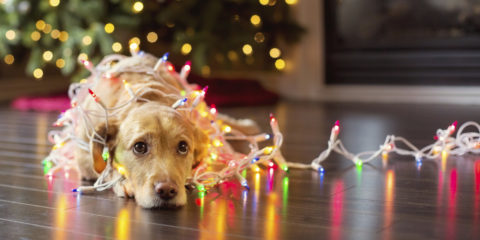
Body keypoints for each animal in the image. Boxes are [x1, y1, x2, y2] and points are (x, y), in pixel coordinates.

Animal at [72, 53, 256, 207]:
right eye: (139, 147)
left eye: (183, 147)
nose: (167, 190)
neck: (147, 97)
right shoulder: (83, 157)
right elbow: (106, 169)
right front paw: (121, 180)